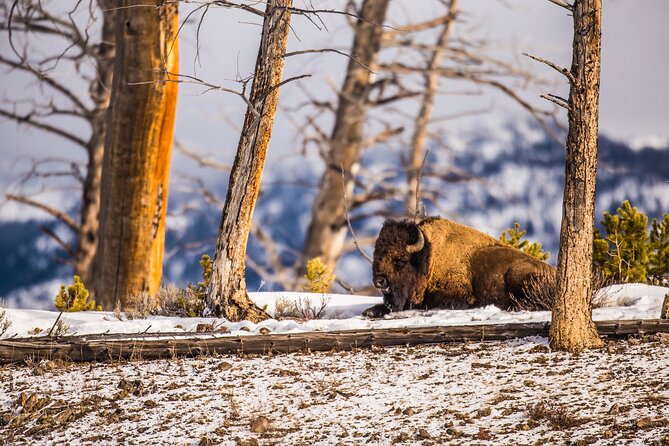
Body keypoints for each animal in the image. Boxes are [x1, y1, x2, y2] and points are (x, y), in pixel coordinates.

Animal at [362, 216, 556, 318]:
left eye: (400, 260)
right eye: (376, 255)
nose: (379, 281)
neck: (428, 258)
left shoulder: (459, 296)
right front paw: (369, 312)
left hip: (517, 275)